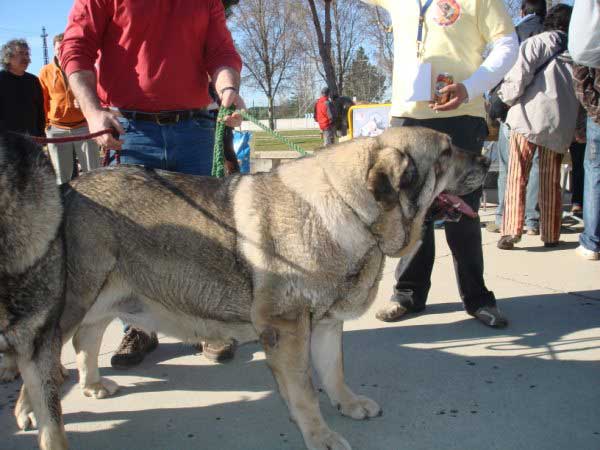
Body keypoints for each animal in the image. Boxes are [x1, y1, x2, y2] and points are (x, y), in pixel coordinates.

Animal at [4, 126, 490, 450]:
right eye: (446, 152)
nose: (486, 157)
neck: (352, 209)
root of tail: (68, 188)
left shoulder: (326, 325)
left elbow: (333, 372)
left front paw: (347, 404)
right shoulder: (287, 329)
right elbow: (304, 391)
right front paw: (319, 435)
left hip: (106, 298)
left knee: (86, 341)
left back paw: (91, 384)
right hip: (72, 303)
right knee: (44, 361)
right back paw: (31, 412)